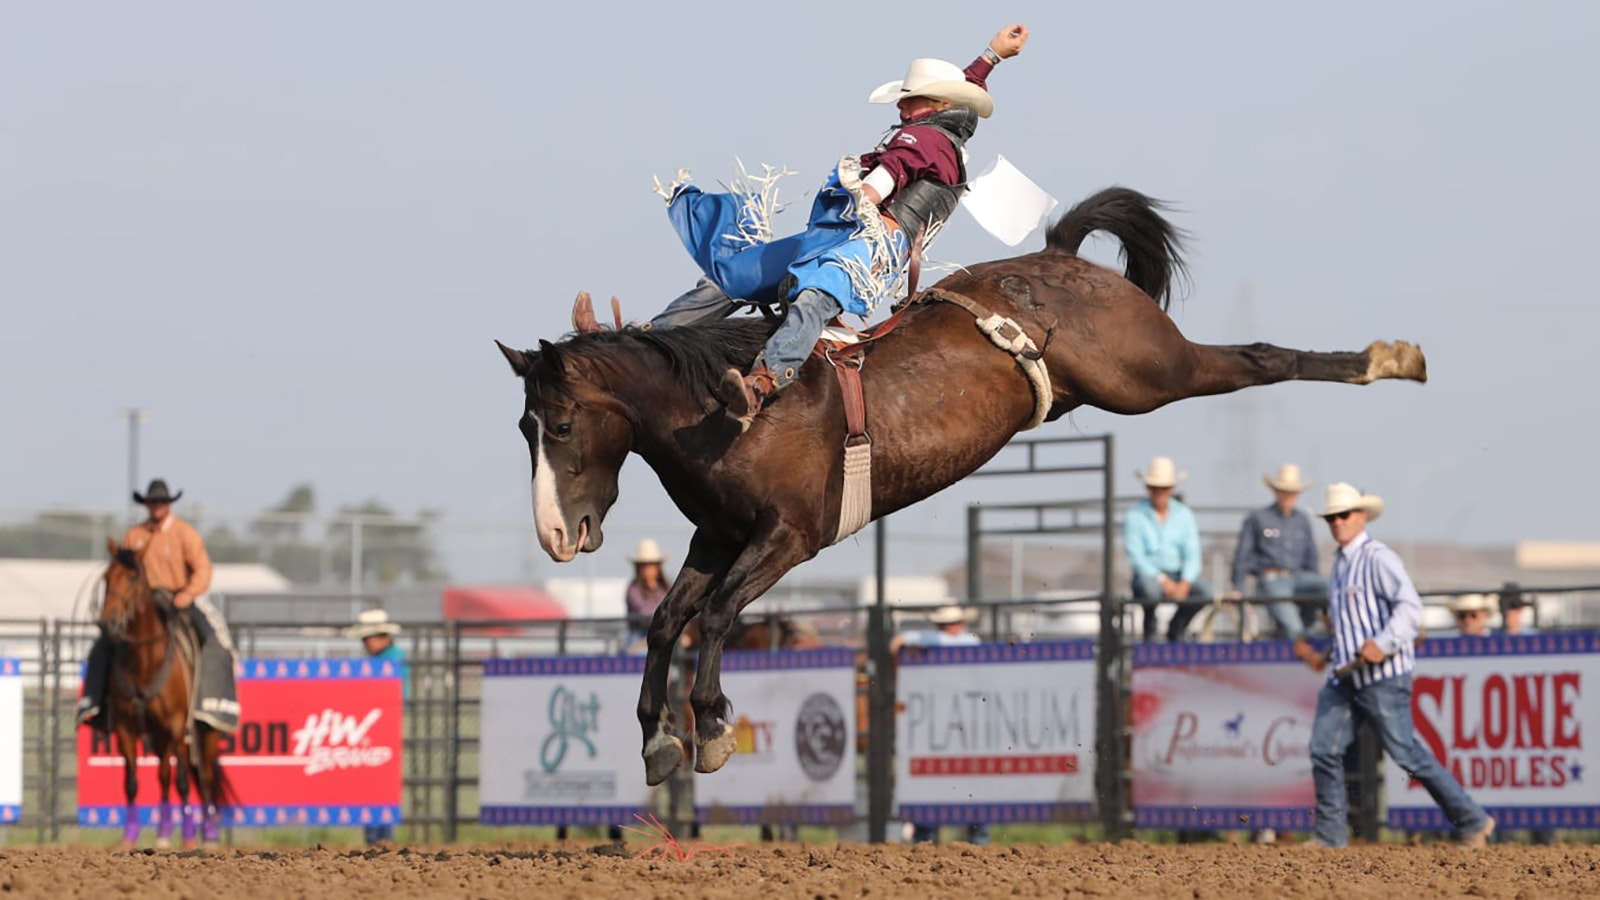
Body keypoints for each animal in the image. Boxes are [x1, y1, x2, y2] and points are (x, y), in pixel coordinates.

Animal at [496, 182, 1427, 778]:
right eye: (524, 429)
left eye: (564, 425)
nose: (556, 533)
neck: (733, 408)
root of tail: (1057, 261)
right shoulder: (717, 535)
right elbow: (666, 622)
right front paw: (658, 742)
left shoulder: (789, 537)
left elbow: (719, 614)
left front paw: (714, 727)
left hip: (1150, 373)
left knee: (1258, 358)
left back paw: (1389, 358)